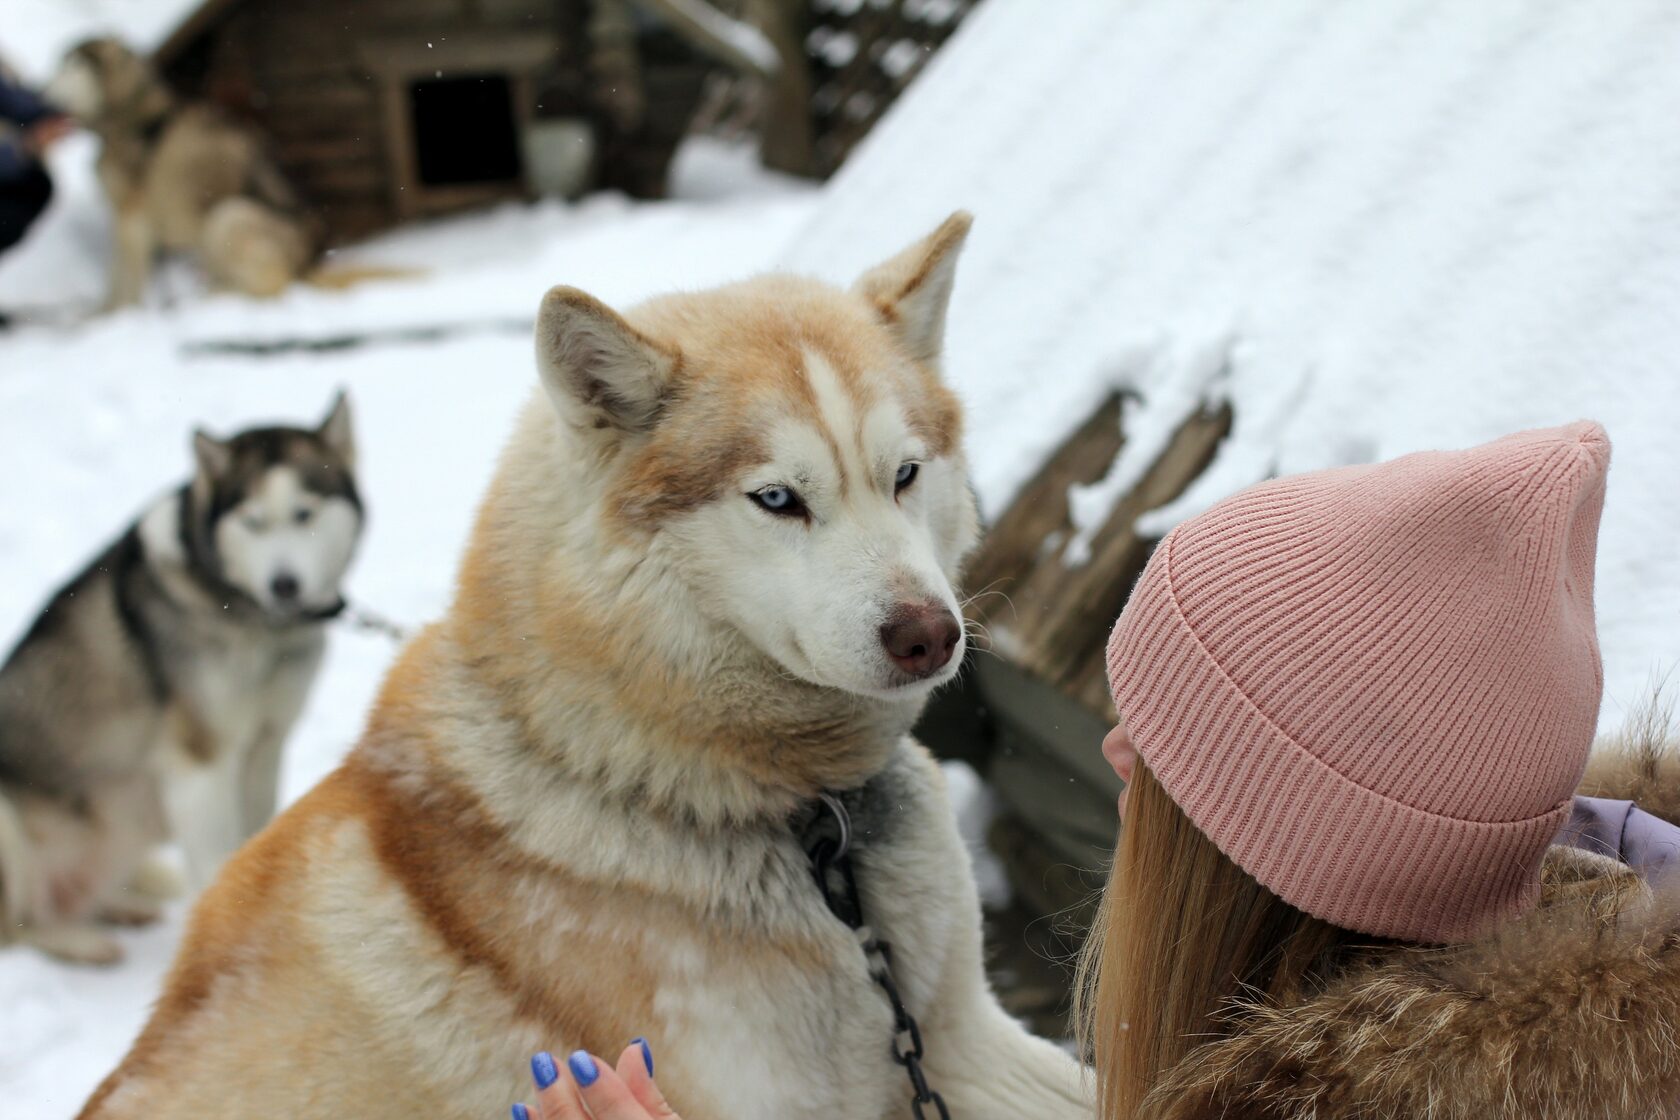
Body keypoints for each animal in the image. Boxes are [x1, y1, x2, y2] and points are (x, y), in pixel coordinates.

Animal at [0, 396, 364, 967]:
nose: (284, 584)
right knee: (18, 932)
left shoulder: (265, 746)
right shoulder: (201, 763)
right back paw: (81, 942)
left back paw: (122, 908)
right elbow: (218, 861)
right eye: (253, 521)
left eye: (304, 513)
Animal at [40, 38, 322, 310]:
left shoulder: (132, 215)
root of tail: (309, 260)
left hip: (228, 215)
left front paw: (117, 313)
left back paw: (210, 299)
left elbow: (127, 278)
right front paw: (103, 312)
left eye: (71, 66)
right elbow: (116, 275)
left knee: (271, 284)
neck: (127, 115)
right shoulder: (122, 215)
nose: (41, 91)